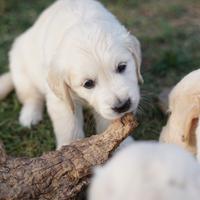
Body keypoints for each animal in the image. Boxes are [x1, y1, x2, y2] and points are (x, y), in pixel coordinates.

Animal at [0, 0, 142, 148]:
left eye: (122, 67)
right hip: (21, 70)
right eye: (88, 84)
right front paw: (69, 146)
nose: (122, 105)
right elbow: (69, 126)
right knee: (31, 97)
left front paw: (123, 145)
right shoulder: (61, 100)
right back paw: (30, 116)